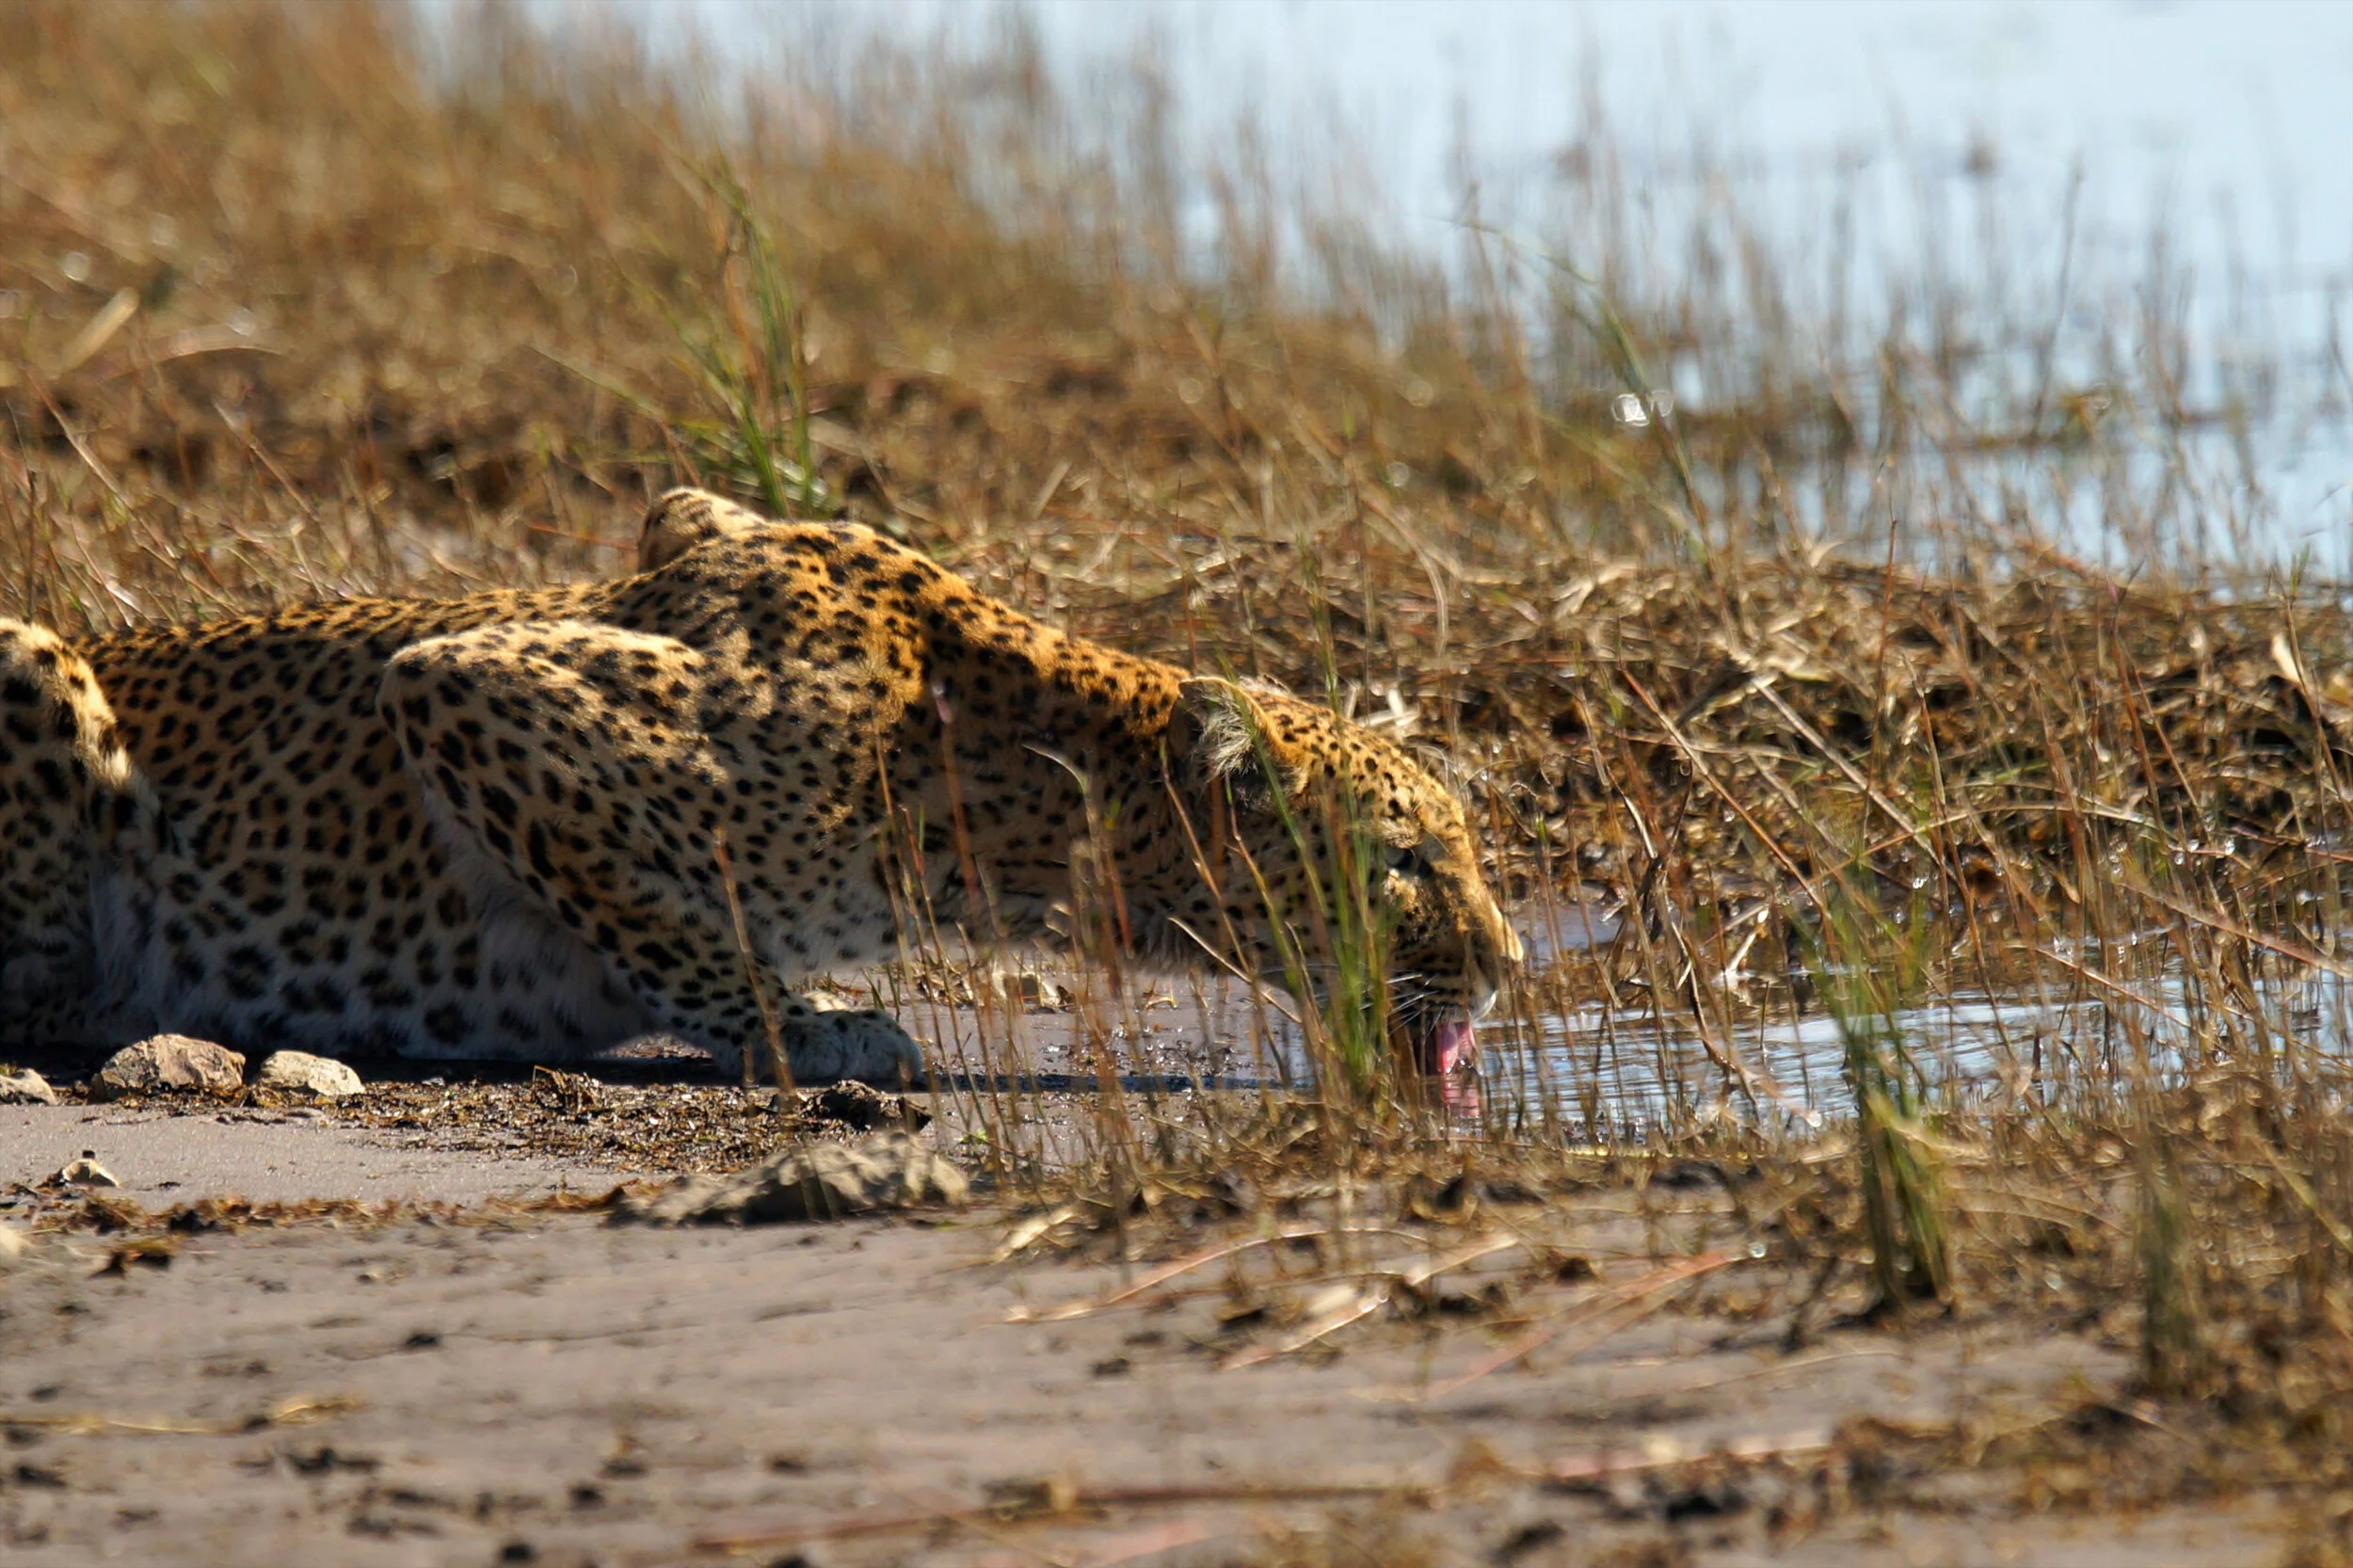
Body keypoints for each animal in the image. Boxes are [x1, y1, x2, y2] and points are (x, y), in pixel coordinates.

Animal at [0, 489, 1520, 1085]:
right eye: (1406, 857)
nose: (1511, 961)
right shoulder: (467, 686)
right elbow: (672, 928)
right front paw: (825, 1031)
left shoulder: (681, 515)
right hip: (33, 655)